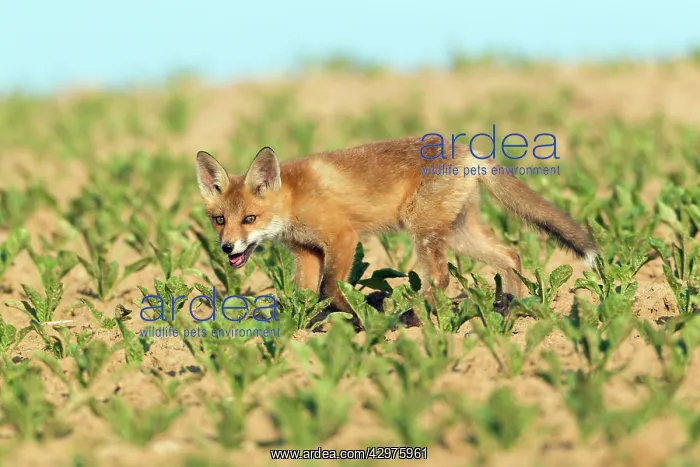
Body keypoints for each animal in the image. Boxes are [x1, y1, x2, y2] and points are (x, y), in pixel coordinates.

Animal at [194, 136, 598, 330]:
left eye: (249, 218)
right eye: (220, 220)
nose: (227, 248)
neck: (293, 199)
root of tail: (469, 150)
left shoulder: (343, 237)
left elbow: (330, 290)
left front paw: (360, 319)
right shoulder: (307, 252)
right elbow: (305, 295)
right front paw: (302, 326)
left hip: (423, 228)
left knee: (441, 278)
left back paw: (413, 317)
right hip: (459, 233)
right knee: (510, 255)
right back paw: (507, 309)